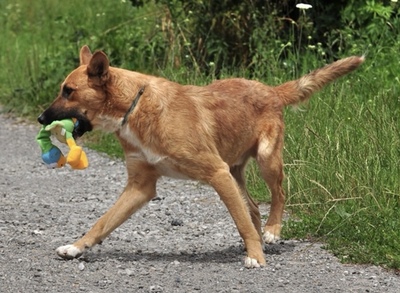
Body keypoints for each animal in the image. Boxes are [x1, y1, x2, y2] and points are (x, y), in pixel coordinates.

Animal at [36, 45, 362, 266]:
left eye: (68, 91)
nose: (40, 118)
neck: (134, 106)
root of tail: (270, 90)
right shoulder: (140, 187)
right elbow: (102, 222)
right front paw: (76, 247)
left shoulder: (215, 172)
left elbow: (242, 222)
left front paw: (256, 257)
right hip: (235, 174)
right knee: (253, 207)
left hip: (265, 161)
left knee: (278, 195)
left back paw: (270, 232)